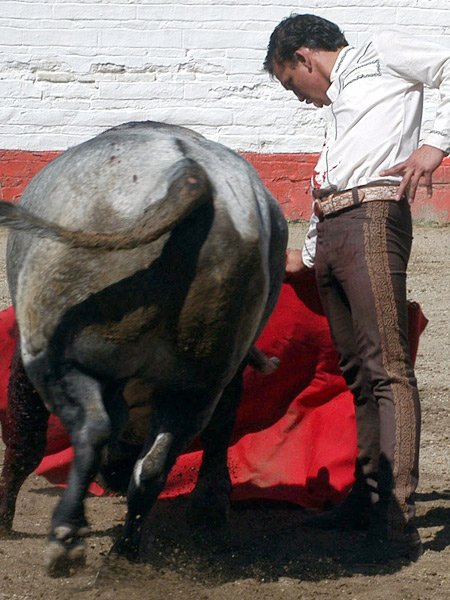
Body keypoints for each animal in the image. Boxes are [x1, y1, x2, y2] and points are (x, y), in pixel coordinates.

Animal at [0, 120, 288, 572]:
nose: (112, 479)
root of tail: (194, 175)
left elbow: (24, 438)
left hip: (56, 359)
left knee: (92, 430)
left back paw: (66, 537)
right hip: (196, 385)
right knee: (154, 466)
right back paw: (126, 549)